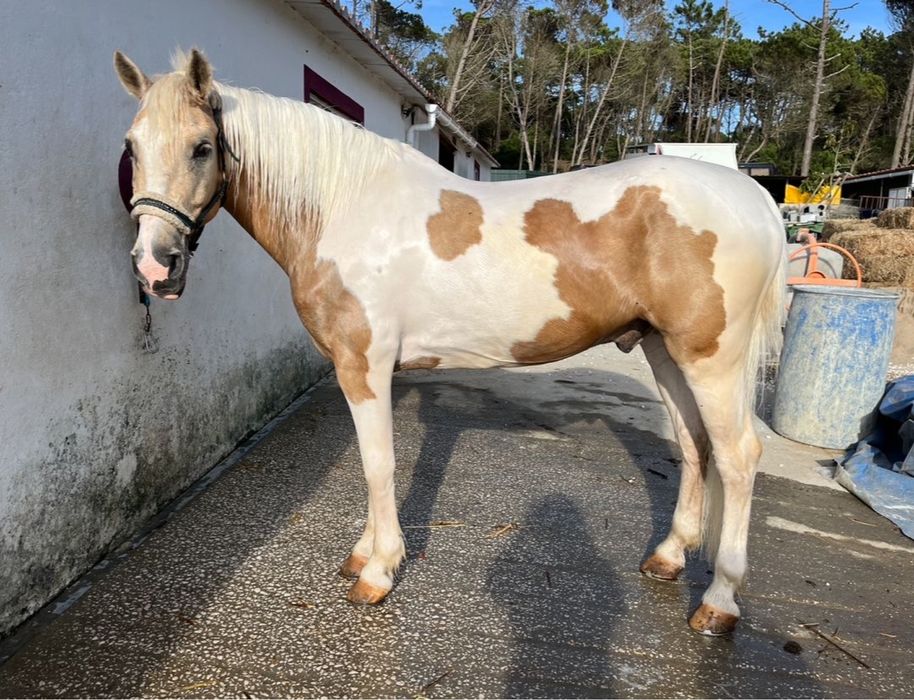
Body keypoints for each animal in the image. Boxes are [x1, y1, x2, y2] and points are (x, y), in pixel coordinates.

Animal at [114, 48, 786, 636]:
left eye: (203, 147)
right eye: (131, 147)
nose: (153, 266)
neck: (342, 210)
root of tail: (753, 196)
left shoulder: (364, 366)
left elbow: (378, 463)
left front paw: (378, 572)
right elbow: (373, 464)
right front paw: (363, 554)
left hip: (711, 358)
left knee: (738, 456)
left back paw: (719, 602)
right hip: (663, 348)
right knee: (693, 443)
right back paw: (669, 557)